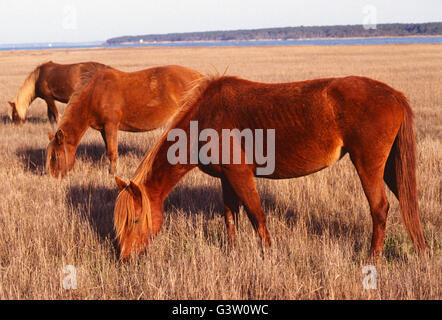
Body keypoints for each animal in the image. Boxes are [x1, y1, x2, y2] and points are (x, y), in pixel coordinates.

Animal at [46, 64, 202, 178]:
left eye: (56, 156)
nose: (53, 177)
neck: (94, 94)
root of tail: (199, 76)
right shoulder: (103, 129)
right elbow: (109, 149)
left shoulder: (111, 126)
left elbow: (112, 151)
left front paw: (113, 173)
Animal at [114, 74, 428, 260]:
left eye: (134, 221)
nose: (125, 258)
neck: (206, 120)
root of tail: (393, 94)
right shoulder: (227, 179)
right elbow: (230, 216)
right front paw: (232, 253)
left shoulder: (241, 176)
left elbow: (257, 217)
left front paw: (269, 256)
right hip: (390, 168)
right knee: (407, 202)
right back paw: (422, 250)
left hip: (368, 164)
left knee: (379, 208)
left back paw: (373, 258)